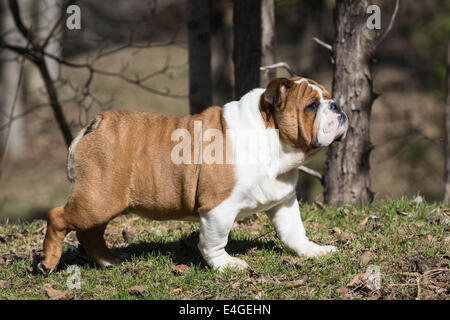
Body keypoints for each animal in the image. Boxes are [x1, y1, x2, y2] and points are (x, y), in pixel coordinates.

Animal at [37, 77, 348, 272]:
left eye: (328, 99)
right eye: (311, 106)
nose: (338, 106)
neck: (272, 138)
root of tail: (95, 124)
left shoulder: (283, 201)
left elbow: (294, 231)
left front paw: (313, 250)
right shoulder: (218, 208)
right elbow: (214, 241)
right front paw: (226, 265)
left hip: (105, 200)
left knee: (89, 233)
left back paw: (108, 260)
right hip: (98, 200)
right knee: (57, 217)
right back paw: (48, 263)